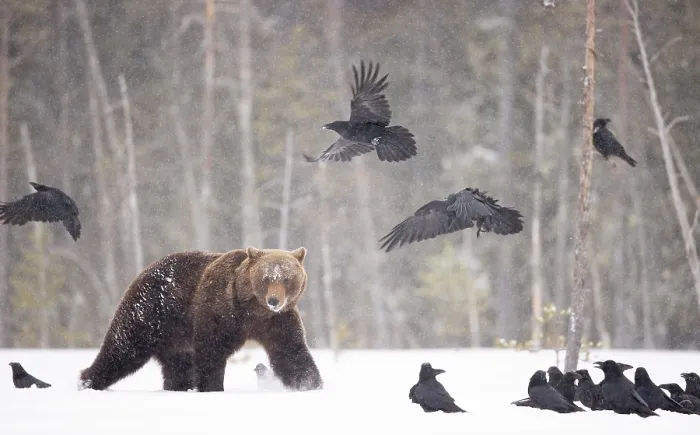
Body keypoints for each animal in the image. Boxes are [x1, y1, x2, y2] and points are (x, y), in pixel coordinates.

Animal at [79, 246, 323, 392]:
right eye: (266, 278)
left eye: (287, 279)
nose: (274, 300)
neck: (252, 309)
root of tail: (144, 271)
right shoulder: (219, 310)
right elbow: (211, 351)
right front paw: (212, 387)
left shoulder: (277, 321)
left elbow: (291, 352)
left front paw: (310, 384)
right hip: (149, 313)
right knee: (123, 348)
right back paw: (88, 381)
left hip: (176, 338)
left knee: (178, 366)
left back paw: (177, 388)